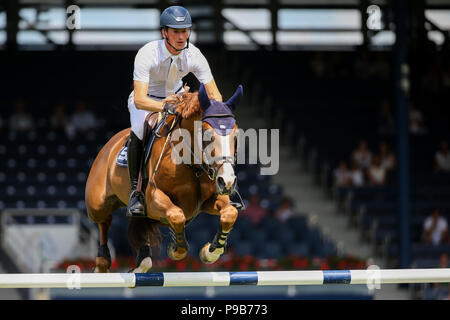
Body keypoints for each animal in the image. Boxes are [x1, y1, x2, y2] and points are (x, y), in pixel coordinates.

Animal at [84, 83, 243, 272]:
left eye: (236, 136)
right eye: (207, 135)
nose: (227, 181)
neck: (193, 164)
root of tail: (108, 146)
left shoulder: (209, 200)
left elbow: (230, 213)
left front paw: (210, 251)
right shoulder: (153, 198)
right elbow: (176, 215)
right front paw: (176, 249)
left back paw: (142, 261)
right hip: (97, 205)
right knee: (104, 222)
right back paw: (102, 263)